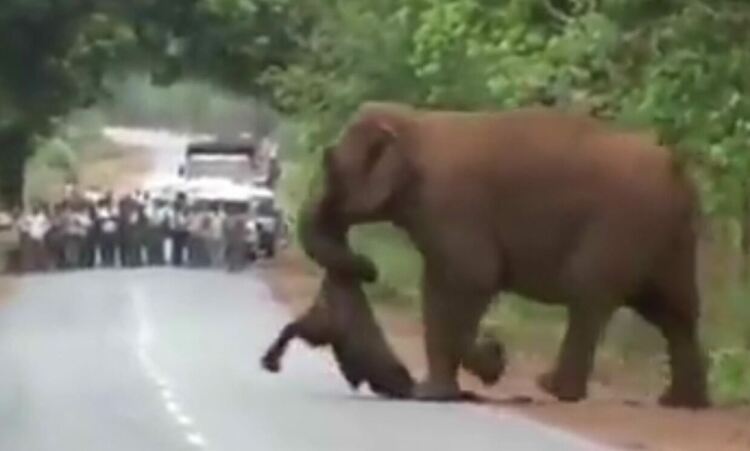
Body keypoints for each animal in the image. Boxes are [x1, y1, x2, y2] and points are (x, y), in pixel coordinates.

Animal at [298, 102, 709, 408]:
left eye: (330, 165)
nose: (369, 269)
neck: (413, 122)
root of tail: (678, 172)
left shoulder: (452, 204)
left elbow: (474, 278)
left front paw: (492, 363)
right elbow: (435, 287)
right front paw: (435, 394)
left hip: (623, 225)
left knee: (590, 294)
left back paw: (553, 389)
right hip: (667, 237)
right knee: (673, 311)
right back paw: (681, 402)